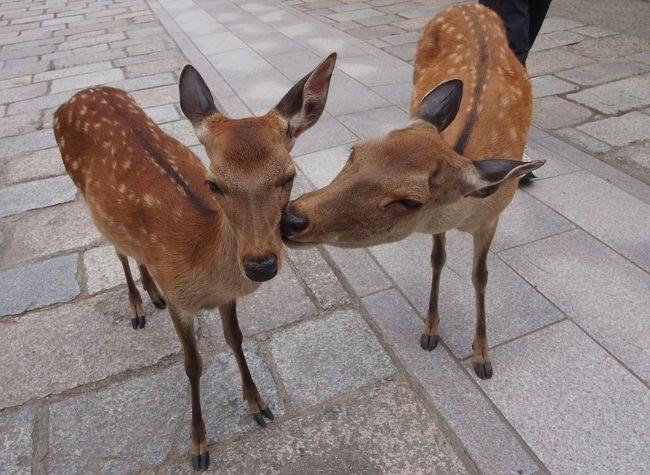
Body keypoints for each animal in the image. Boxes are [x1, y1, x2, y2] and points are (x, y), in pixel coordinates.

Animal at [53, 53, 337, 471]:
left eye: (288, 176)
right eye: (214, 183)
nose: (260, 264)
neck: (202, 265)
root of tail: (77, 95)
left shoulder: (224, 298)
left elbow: (236, 338)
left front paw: (259, 404)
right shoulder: (180, 302)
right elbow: (192, 364)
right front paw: (198, 446)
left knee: (136, 253)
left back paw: (151, 292)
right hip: (92, 207)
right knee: (118, 251)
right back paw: (137, 308)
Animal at [281, 4, 544, 380]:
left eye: (409, 201)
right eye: (355, 149)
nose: (291, 218)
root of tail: (471, 6)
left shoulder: (493, 217)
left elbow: (480, 276)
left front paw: (482, 355)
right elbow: (437, 259)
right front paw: (430, 329)